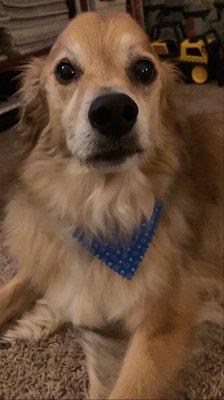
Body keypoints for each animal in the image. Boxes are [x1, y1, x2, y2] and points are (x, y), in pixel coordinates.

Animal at [0, 10, 222, 398]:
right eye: (65, 70)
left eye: (144, 69)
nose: (114, 110)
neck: (101, 208)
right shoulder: (52, 252)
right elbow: (10, 290)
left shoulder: (165, 317)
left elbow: (129, 388)